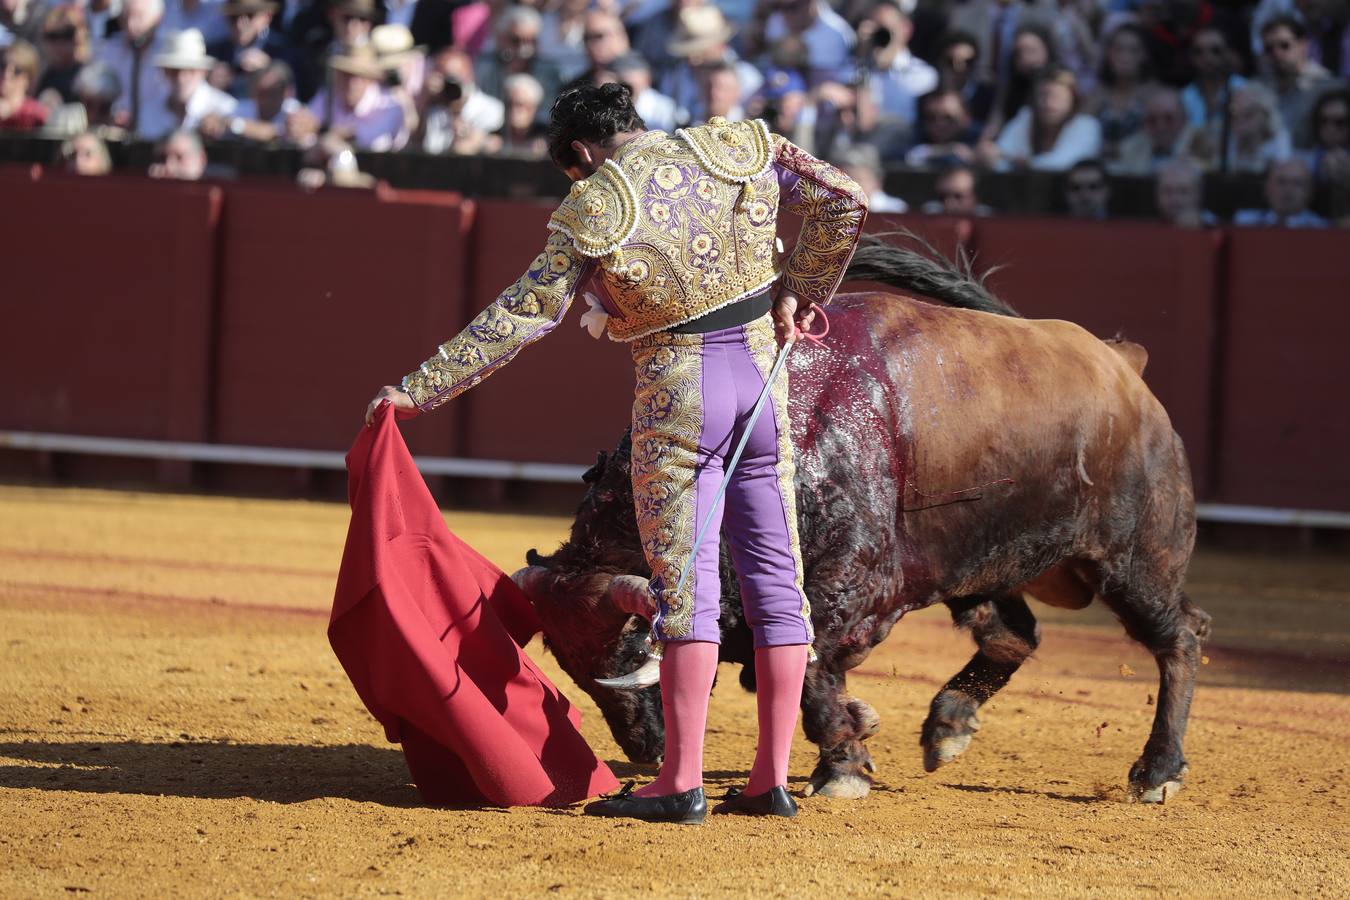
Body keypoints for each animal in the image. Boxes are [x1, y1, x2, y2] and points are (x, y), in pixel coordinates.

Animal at [510, 236, 1209, 804]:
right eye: (571, 668)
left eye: (632, 649)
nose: (648, 750)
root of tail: (1122, 363)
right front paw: (854, 739)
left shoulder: (858, 581)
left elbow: (814, 665)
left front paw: (843, 764)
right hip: (984, 562)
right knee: (1014, 634)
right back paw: (948, 725)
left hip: (1133, 559)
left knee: (1178, 637)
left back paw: (1156, 772)